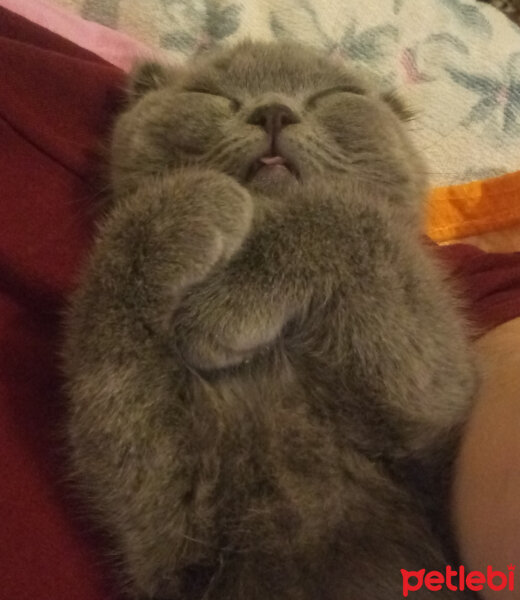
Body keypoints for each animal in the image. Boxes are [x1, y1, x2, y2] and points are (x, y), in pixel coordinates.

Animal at [63, 39, 478, 596]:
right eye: (210, 94)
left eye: (334, 96)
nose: (274, 111)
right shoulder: (166, 522)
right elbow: (109, 318)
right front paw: (195, 200)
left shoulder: (438, 407)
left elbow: (353, 214)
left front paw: (219, 312)